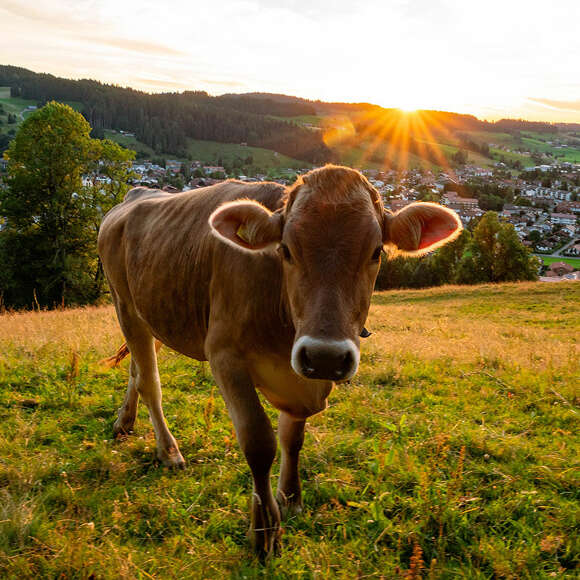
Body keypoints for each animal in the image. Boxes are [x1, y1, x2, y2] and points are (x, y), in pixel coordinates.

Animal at [99, 165, 462, 556]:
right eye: (286, 250)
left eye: (376, 251)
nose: (325, 355)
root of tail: (134, 194)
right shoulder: (225, 355)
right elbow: (259, 443)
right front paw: (265, 530)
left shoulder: (301, 376)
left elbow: (292, 438)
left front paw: (290, 499)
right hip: (124, 304)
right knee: (150, 382)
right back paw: (168, 451)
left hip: (149, 312)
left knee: (137, 370)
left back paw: (124, 422)